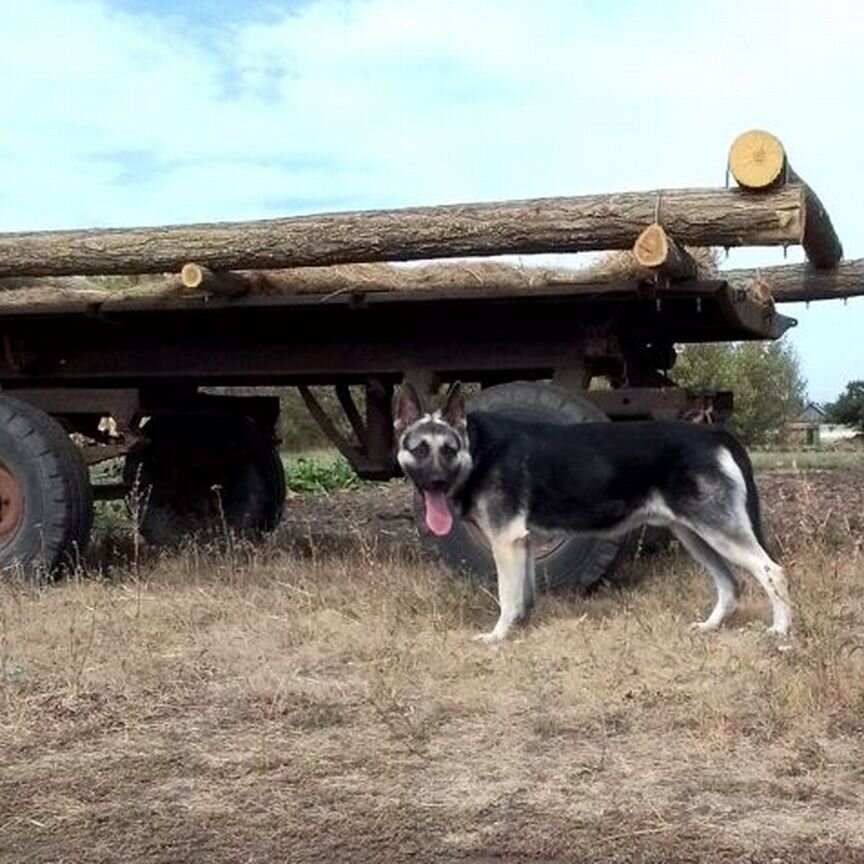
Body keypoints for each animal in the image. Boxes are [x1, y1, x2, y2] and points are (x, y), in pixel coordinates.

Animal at [394, 384, 792, 640]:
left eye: (448, 450)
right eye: (419, 449)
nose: (435, 483)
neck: (477, 449)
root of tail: (714, 435)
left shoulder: (506, 543)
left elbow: (507, 597)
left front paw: (497, 636)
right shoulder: (523, 545)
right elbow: (524, 596)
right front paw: (522, 628)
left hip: (718, 533)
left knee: (772, 571)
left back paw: (781, 631)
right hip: (696, 537)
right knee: (730, 584)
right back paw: (710, 627)